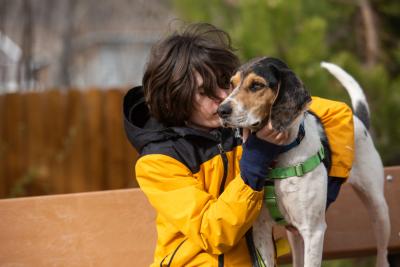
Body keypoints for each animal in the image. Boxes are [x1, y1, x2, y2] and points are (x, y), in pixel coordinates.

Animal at [217, 58, 390, 267]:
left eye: (257, 85)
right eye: (231, 84)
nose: (221, 110)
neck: (277, 157)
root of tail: (359, 120)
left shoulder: (313, 231)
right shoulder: (261, 230)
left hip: (379, 209)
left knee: (382, 252)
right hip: (294, 233)